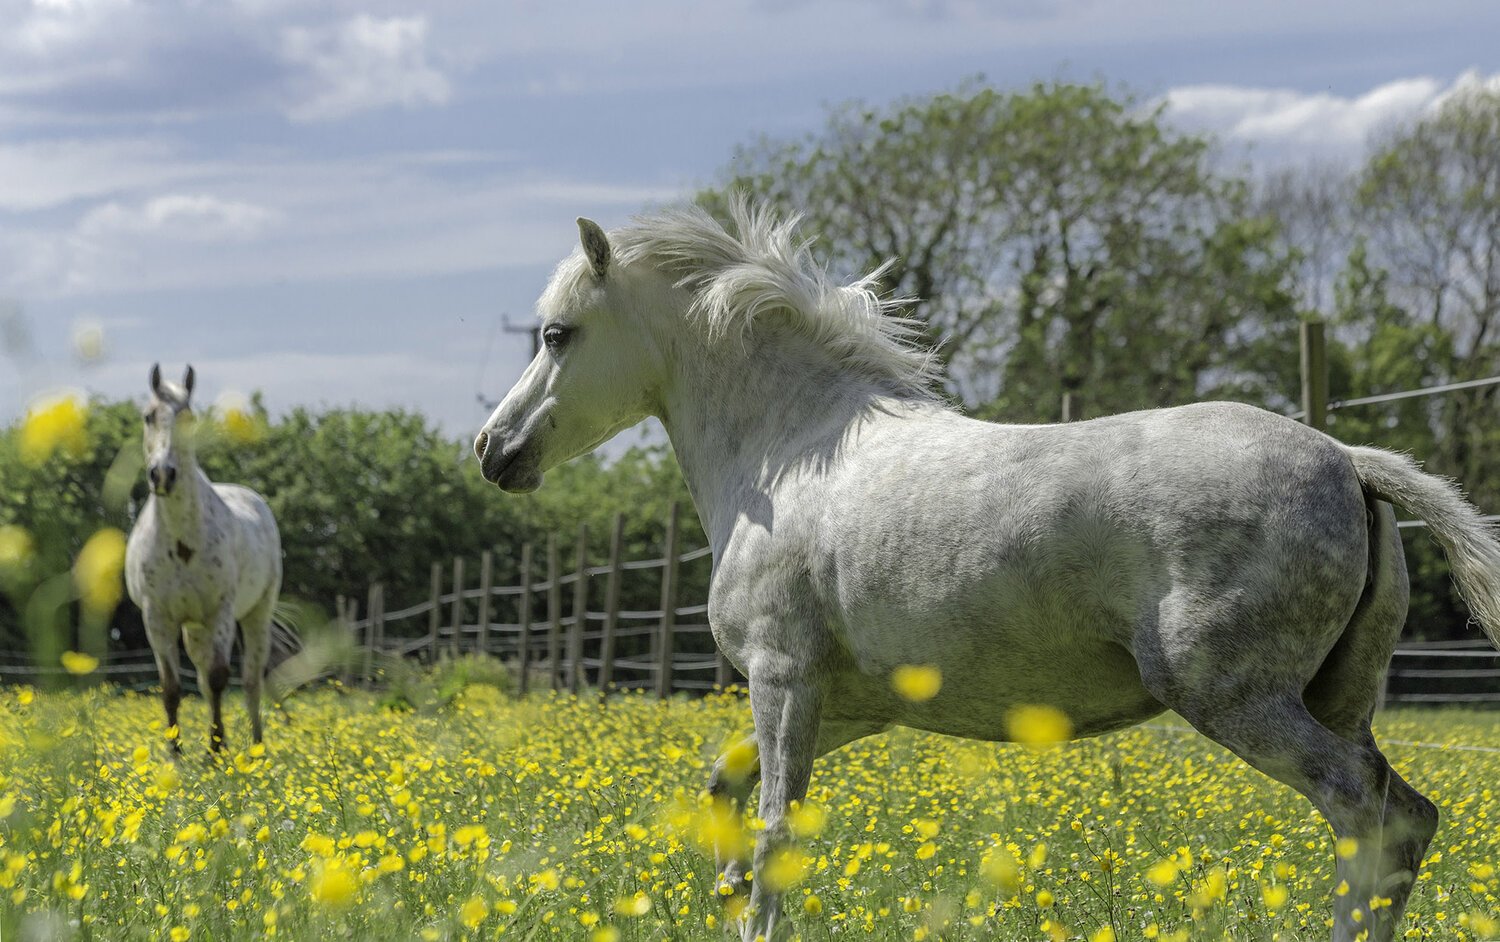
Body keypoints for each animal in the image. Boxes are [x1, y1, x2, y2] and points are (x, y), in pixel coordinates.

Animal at [124, 366, 282, 750]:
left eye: (188, 418)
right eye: (149, 416)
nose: (163, 474)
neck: (182, 543)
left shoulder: (219, 613)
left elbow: (218, 677)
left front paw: (217, 748)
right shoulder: (157, 619)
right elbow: (171, 688)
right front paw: (175, 753)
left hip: (256, 614)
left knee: (251, 679)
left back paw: (256, 748)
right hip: (194, 629)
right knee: (200, 675)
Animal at [471, 201, 1500, 942]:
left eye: (556, 335)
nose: (492, 450)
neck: (788, 457)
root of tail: (1347, 459)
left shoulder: (782, 676)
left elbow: (774, 829)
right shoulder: (850, 706)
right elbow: (724, 788)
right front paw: (721, 891)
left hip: (1236, 697)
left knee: (1362, 807)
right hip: (1341, 700)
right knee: (1406, 818)